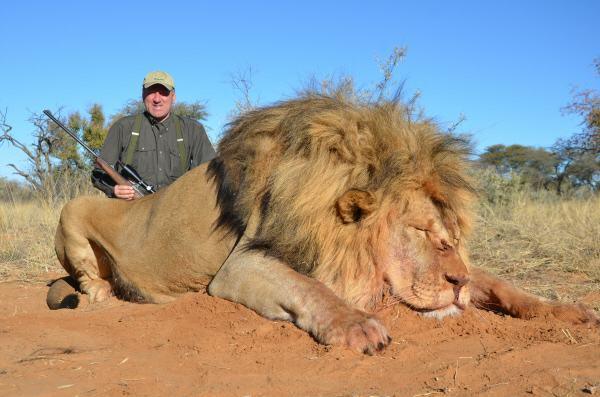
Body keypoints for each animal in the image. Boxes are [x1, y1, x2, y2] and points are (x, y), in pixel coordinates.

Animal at [49, 93, 596, 352]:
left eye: (452, 235)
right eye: (420, 230)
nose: (457, 284)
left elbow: (504, 284)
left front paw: (568, 310)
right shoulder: (237, 266)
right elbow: (310, 287)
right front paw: (359, 326)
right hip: (71, 213)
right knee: (88, 277)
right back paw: (103, 297)